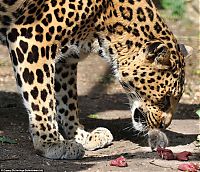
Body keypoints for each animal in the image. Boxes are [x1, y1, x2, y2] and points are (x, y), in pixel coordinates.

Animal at [0, 0, 191, 159]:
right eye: (166, 99)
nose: (163, 126)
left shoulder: (65, 60)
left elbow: (67, 100)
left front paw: (82, 136)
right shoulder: (32, 37)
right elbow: (41, 98)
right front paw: (50, 142)